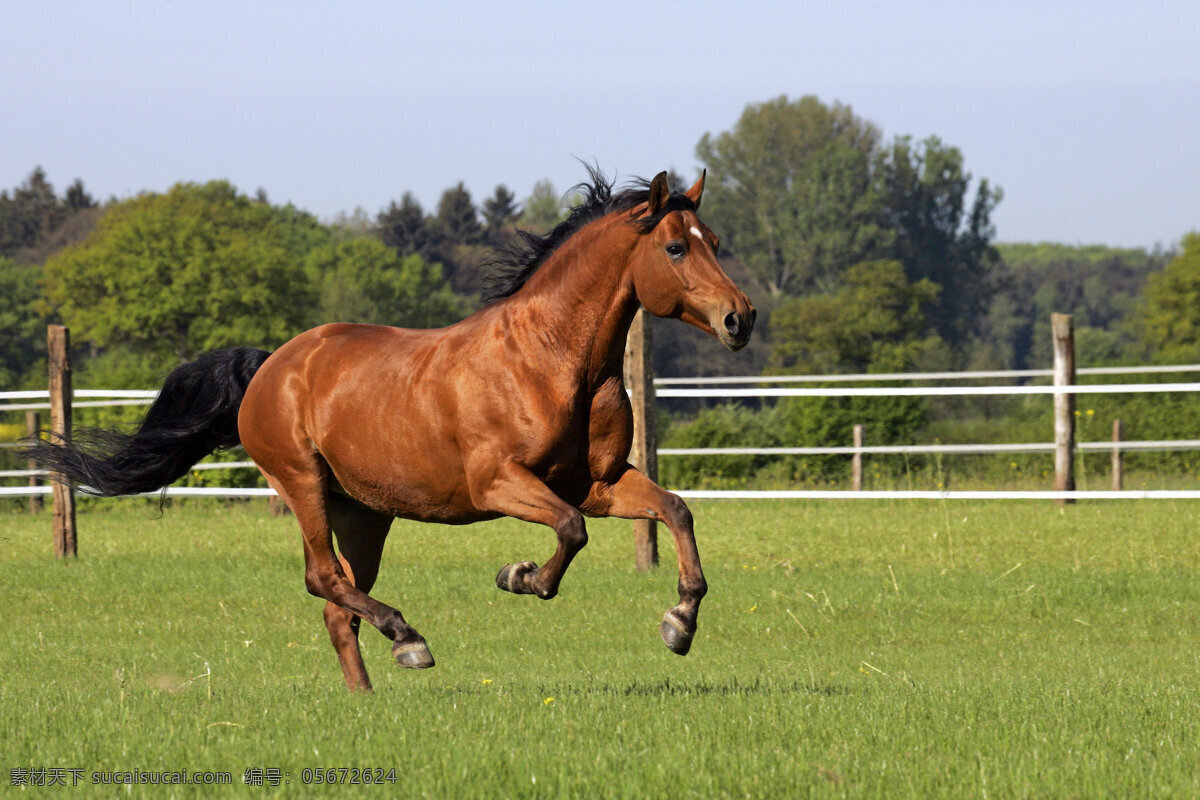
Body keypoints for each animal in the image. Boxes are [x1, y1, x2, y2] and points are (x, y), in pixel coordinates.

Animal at [23, 167, 753, 690]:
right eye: (676, 247)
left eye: (716, 243)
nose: (740, 319)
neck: (550, 360)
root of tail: (270, 365)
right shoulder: (499, 484)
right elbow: (569, 535)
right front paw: (519, 577)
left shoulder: (598, 483)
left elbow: (675, 510)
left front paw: (679, 624)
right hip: (303, 486)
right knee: (322, 579)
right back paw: (410, 641)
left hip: (365, 514)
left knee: (338, 602)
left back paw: (366, 695)